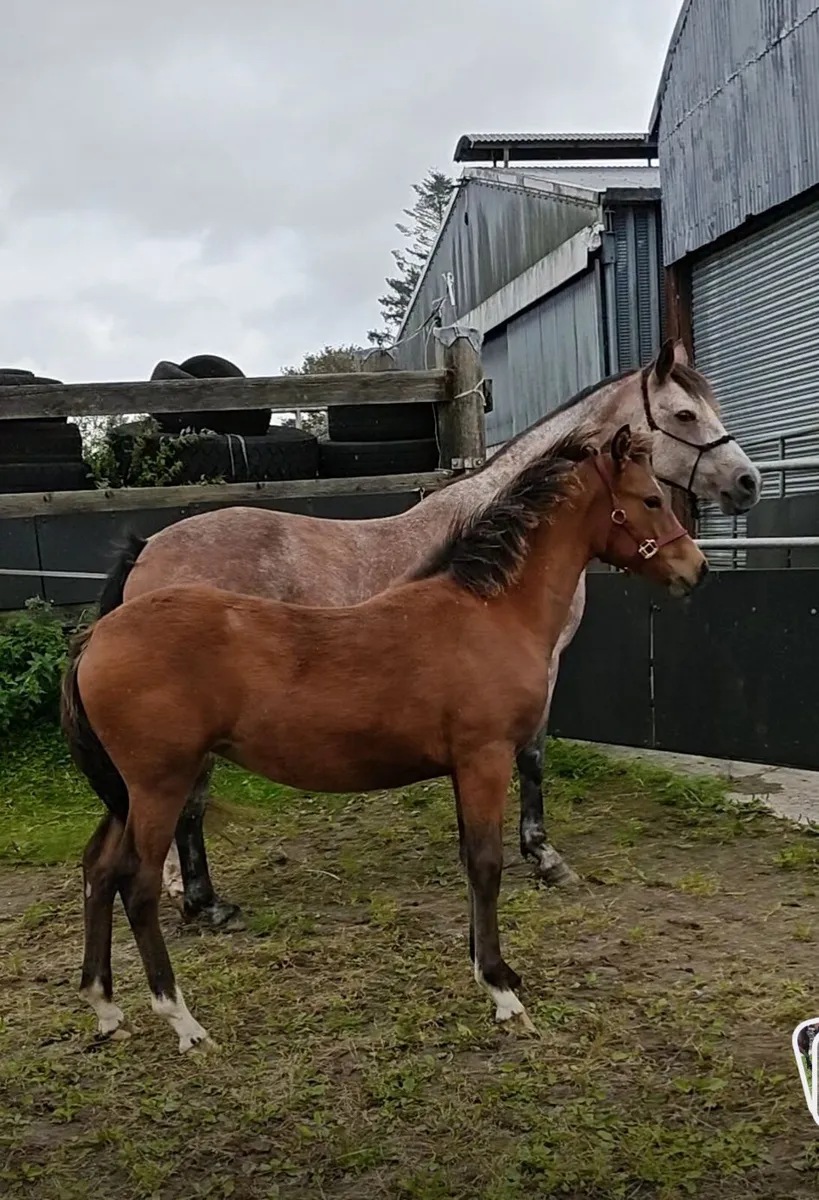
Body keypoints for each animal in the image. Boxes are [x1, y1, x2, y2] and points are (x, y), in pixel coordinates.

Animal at [62, 424, 707, 1052]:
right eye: (651, 499)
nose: (694, 568)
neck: (489, 612)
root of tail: (96, 636)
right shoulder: (486, 759)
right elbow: (486, 864)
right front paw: (502, 990)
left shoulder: (464, 768)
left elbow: (470, 861)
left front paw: (485, 968)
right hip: (159, 786)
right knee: (137, 884)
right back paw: (183, 1021)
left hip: (130, 792)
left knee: (98, 868)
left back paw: (104, 1006)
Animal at [96, 337, 760, 931]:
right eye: (684, 414)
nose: (747, 482)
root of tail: (148, 546)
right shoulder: (543, 668)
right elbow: (534, 758)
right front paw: (543, 855)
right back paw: (194, 897)